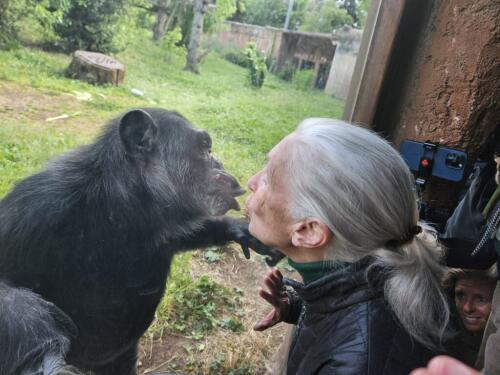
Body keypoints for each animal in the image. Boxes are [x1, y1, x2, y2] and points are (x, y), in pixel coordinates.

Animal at [0, 107, 282, 374]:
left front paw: (242, 230)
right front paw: (30, 319)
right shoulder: (37, 208)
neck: (124, 201)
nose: (219, 162)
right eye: (204, 148)